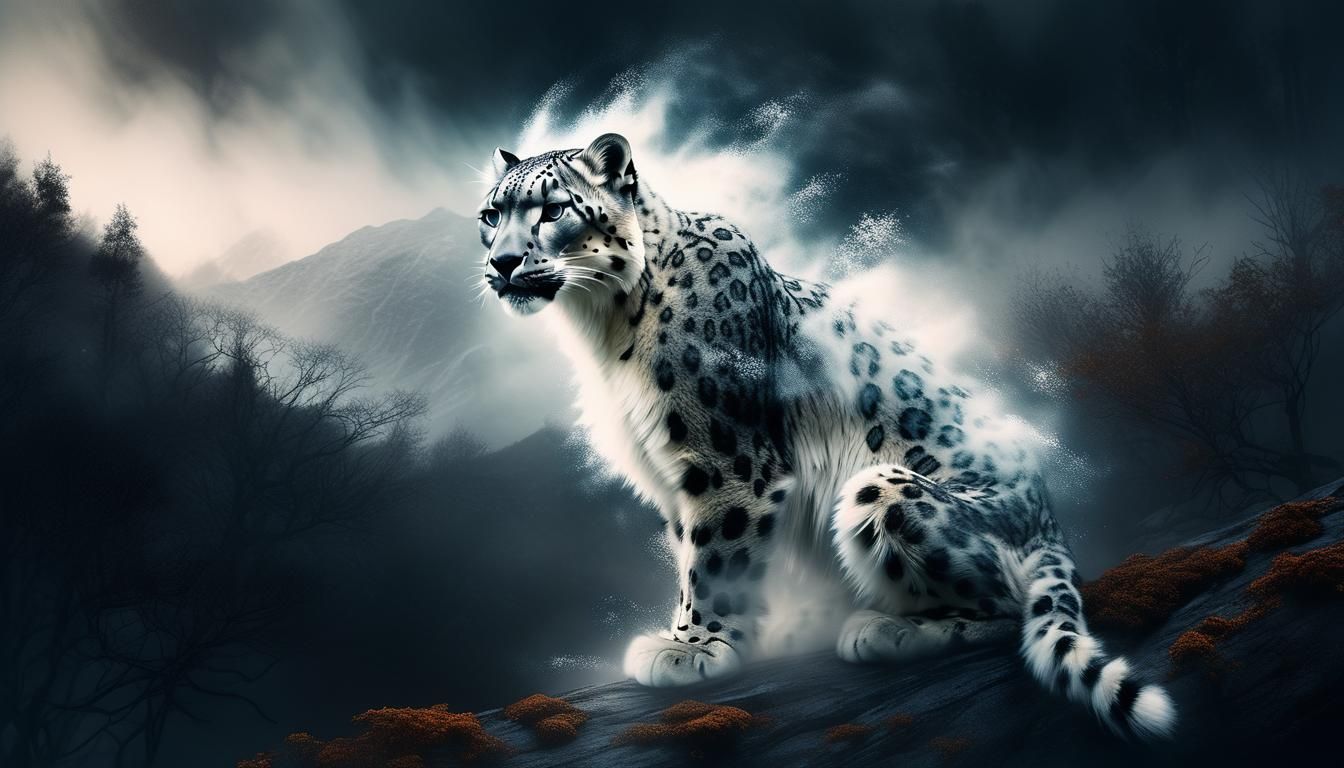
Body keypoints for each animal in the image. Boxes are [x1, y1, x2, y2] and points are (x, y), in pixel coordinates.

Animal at [474, 133, 1176, 739]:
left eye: (553, 209)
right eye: (490, 213)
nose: (501, 263)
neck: (602, 326)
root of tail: (1049, 516)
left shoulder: (727, 461)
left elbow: (715, 559)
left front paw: (696, 648)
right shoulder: (675, 475)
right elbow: (689, 558)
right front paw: (691, 634)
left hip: (882, 488)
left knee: (1006, 603)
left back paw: (885, 630)